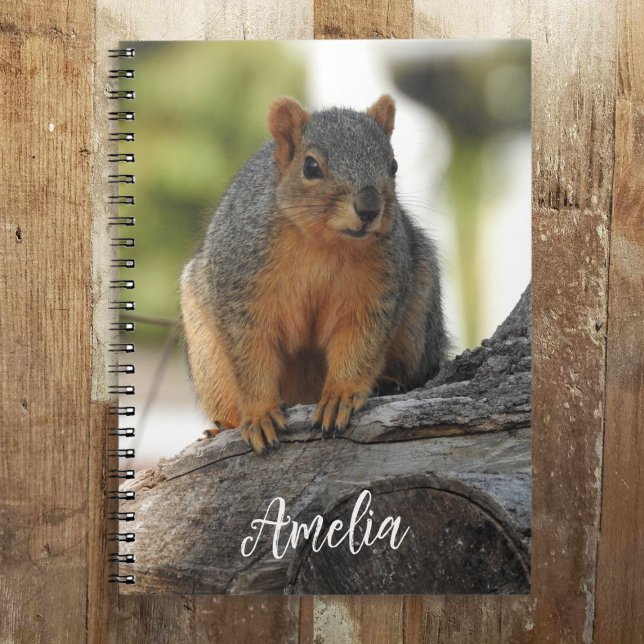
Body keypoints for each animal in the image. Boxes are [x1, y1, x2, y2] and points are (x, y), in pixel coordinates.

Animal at [180, 95, 447, 455]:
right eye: (311, 167)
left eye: (393, 166)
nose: (369, 207)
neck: (323, 244)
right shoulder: (239, 284)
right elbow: (249, 351)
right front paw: (260, 413)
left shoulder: (378, 288)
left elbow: (359, 341)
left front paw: (341, 396)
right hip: (207, 355)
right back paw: (223, 426)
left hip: (420, 314)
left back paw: (390, 382)